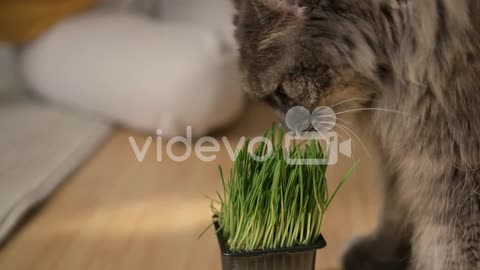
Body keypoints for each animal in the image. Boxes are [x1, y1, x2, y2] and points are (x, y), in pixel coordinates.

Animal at [232, 0, 480, 270]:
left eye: (281, 92)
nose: (289, 130)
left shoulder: (455, 164)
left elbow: (451, 246)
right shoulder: (399, 151)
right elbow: (395, 207)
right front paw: (382, 254)